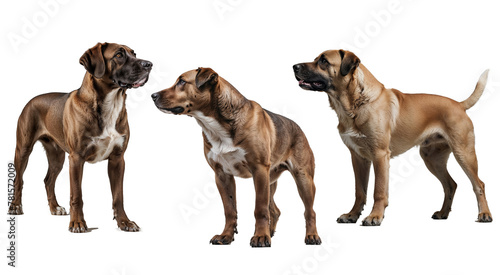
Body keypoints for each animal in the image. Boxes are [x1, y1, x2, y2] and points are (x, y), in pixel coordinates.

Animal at [8, 42, 152, 233]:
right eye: (119, 55)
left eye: (134, 54)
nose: (149, 64)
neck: (110, 103)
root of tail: (31, 100)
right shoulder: (76, 158)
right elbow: (76, 194)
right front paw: (77, 223)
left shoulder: (117, 159)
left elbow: (118, 196)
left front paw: (124, 222)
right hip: (23, 149)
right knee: (18, 179)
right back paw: (15, 206)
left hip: (57, 156)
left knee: (48, 180)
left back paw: (55, 208)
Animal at [151, 67, 320, 248]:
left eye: (182, 81)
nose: (153, 95)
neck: (217, 124)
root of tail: (299, 127)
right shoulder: (222, 175)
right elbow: (229, 209)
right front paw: (226, 235)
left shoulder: (259, 170)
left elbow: (260, 208)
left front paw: (261, 236)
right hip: (271, 180)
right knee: (275, 210)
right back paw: (271, 232)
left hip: (303, 179)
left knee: (310, 211)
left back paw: (311, 235)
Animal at [292, 49, 492, 226]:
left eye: (323, 61)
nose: (294, 66)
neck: (356, 102)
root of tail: (459, 105)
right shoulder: (358, 158)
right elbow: (360, 191)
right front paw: (352, 215)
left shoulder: (380, 155)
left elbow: (378, 190)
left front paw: (375, 216)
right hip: (432, 158)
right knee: (450, 185)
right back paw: (443, 213)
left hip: (464, 154)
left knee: (479, 184)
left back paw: (484, 214)